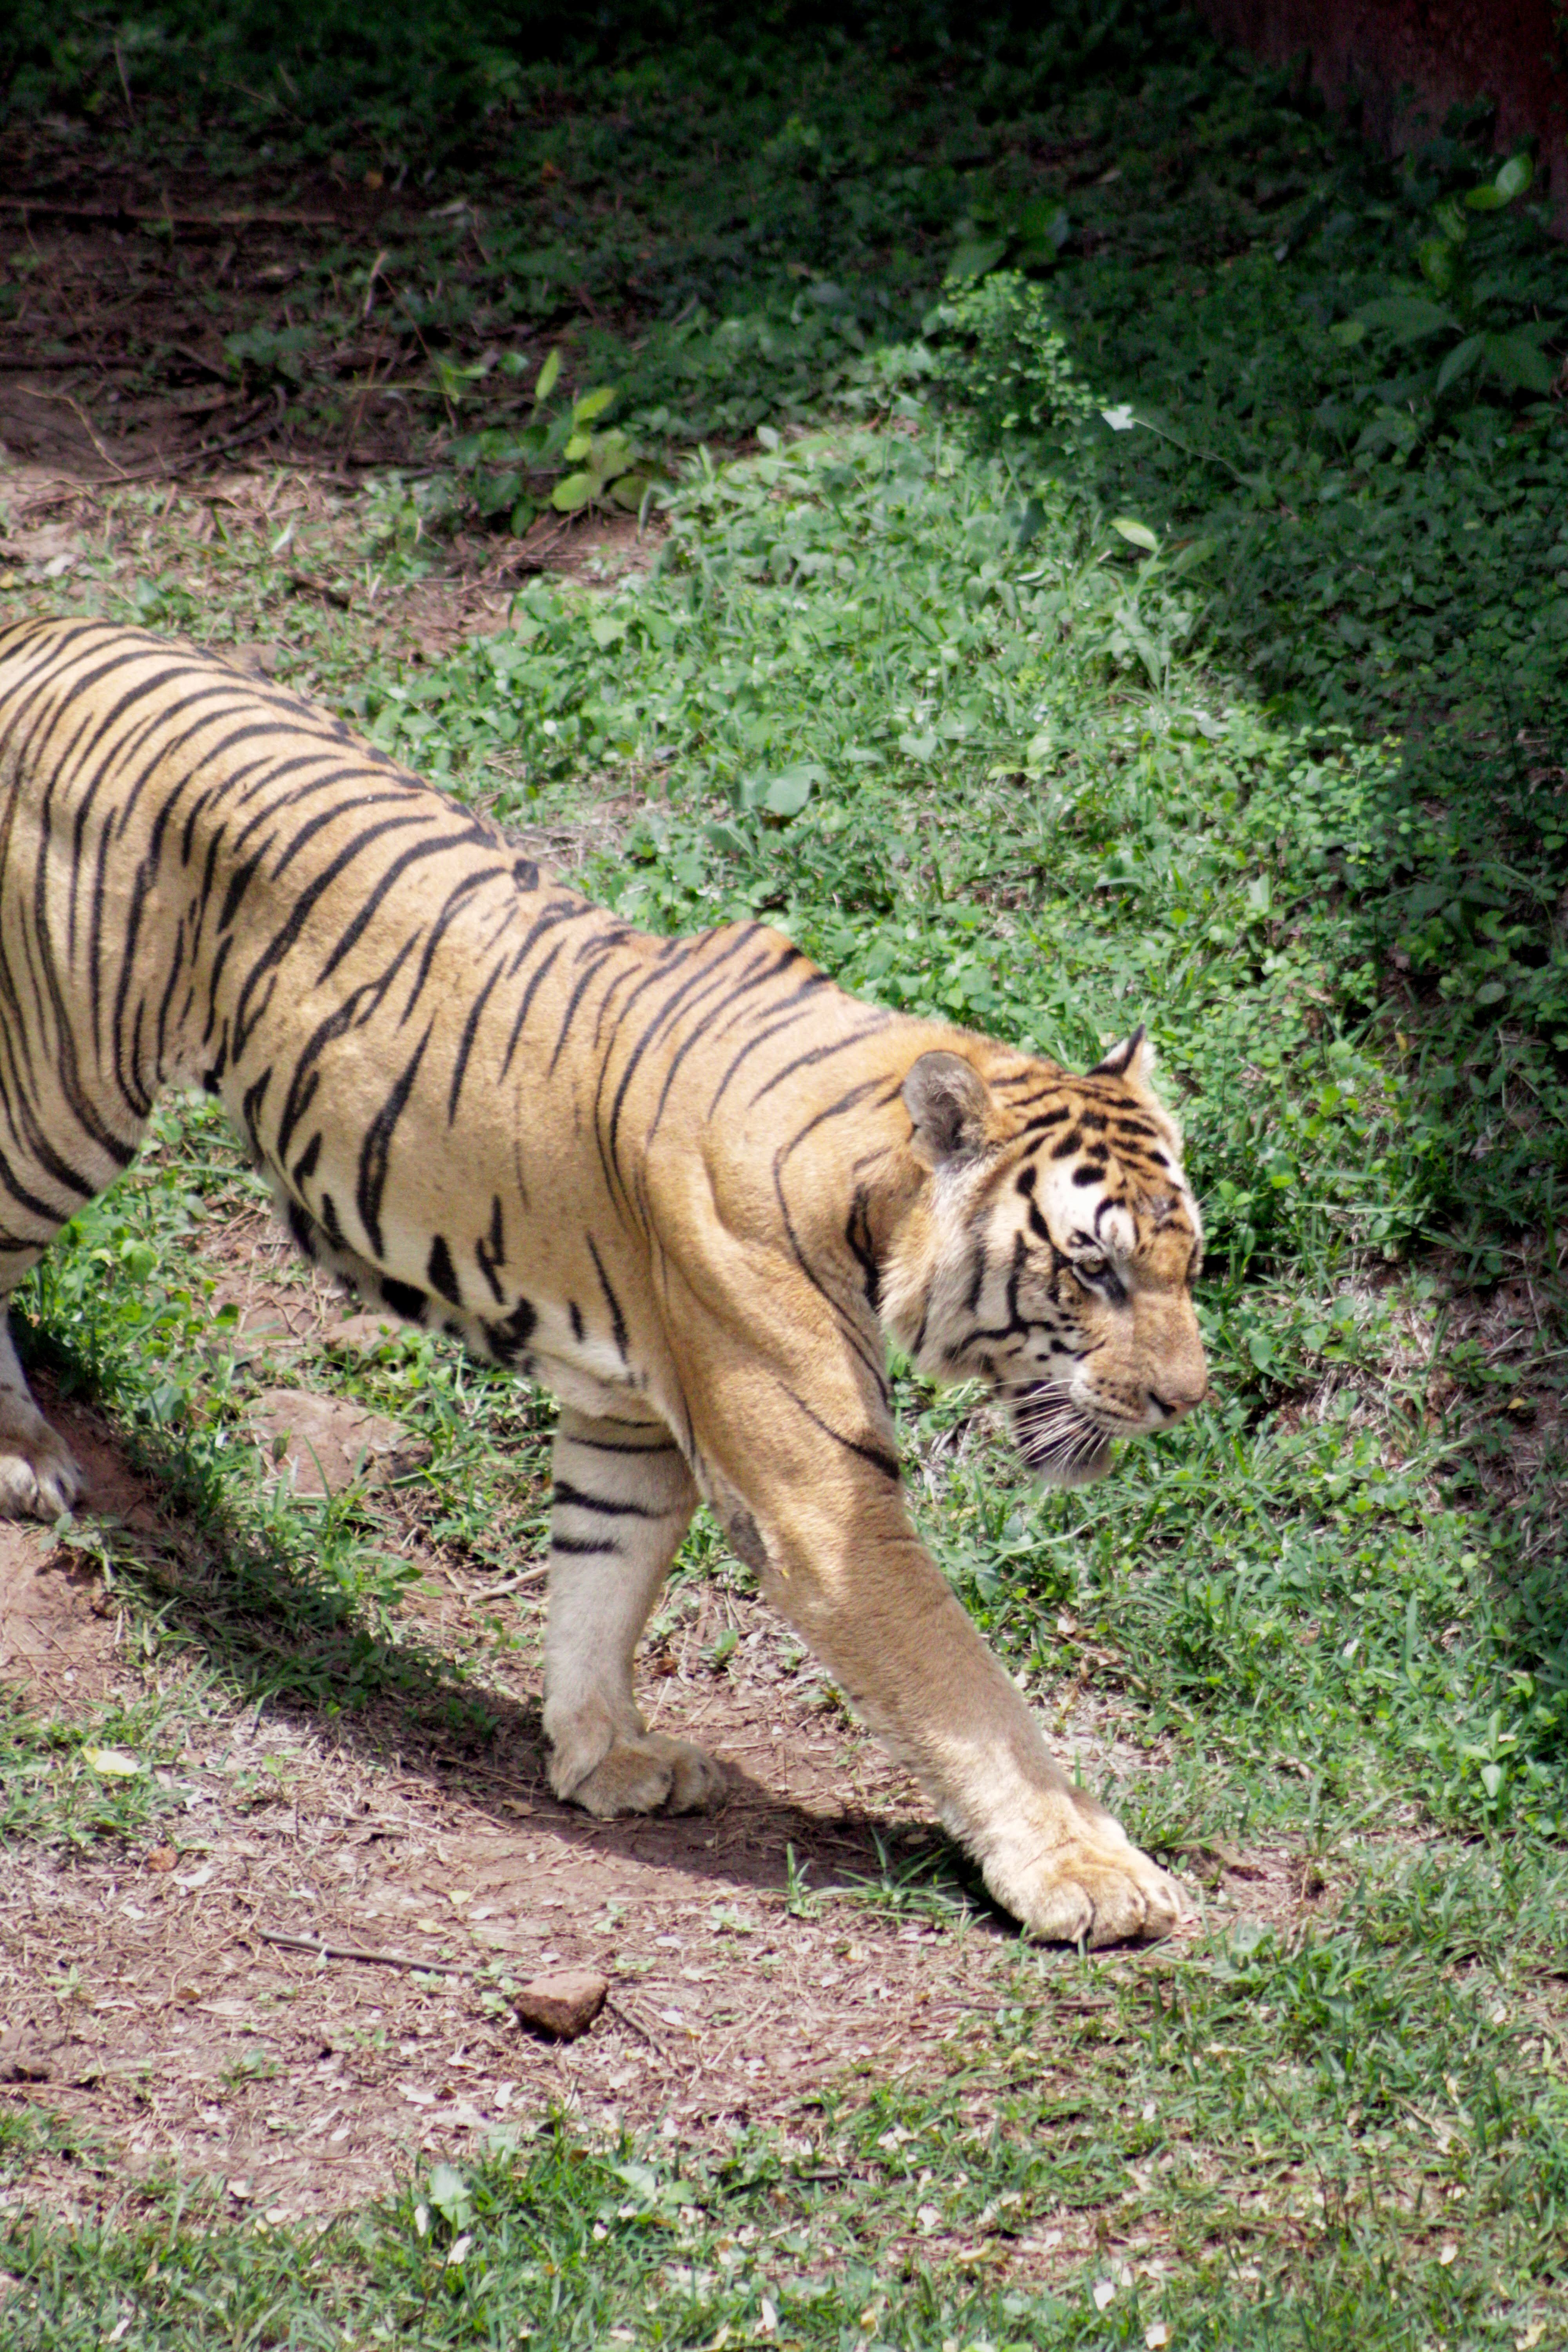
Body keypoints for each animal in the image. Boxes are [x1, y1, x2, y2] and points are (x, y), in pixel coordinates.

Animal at [0, 617, 1208, 1947]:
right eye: (1091, 1267)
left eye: (1185, 1259)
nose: (1185, 1400)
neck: (870, 1189)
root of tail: (49, 629)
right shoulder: (822, 1496)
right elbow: (960, 1681)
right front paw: (1087, 1873)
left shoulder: (633, 1416)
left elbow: (599, 1577)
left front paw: (600, 1756)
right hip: (64, 1094)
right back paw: (22, 1453)